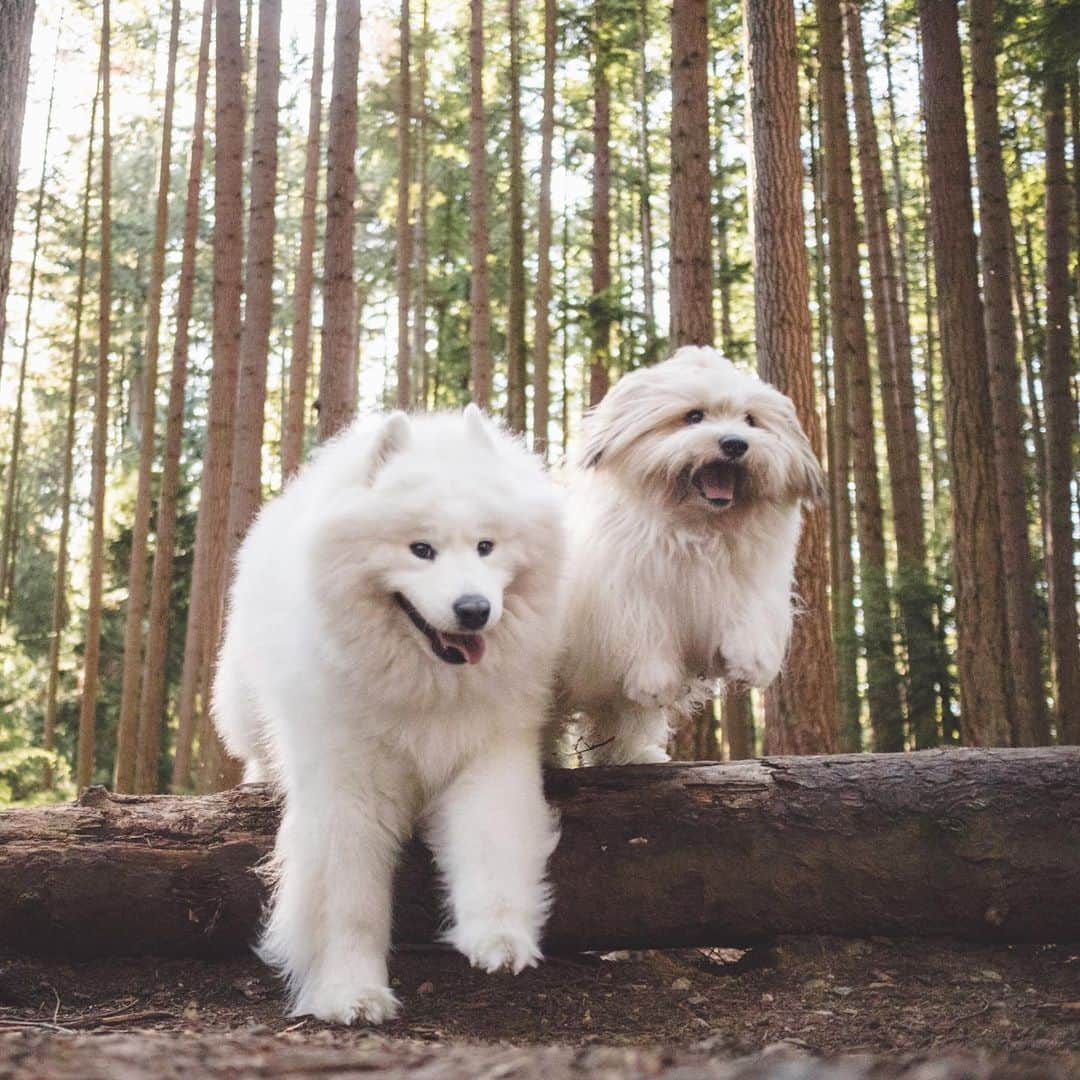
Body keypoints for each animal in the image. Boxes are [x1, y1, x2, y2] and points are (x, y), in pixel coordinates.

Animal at [211, 403, 565, 1019]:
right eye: (420, 550)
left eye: (486, 547)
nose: (474, 609)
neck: (427, 689)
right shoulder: (348, 787)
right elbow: (349, 898)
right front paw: (349, 991)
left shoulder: (489, 754)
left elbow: (492, 842)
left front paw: (498, 939)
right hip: (245, 702)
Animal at [557, 347, 825, 768]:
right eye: (694, 416)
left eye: (751, 420)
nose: (735, 443)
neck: (699, 531)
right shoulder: (629, 594)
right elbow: (646, 631)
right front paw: (655, 682)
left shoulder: (750, 582)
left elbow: (749, 618)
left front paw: (750, 661)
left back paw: (637, 755)